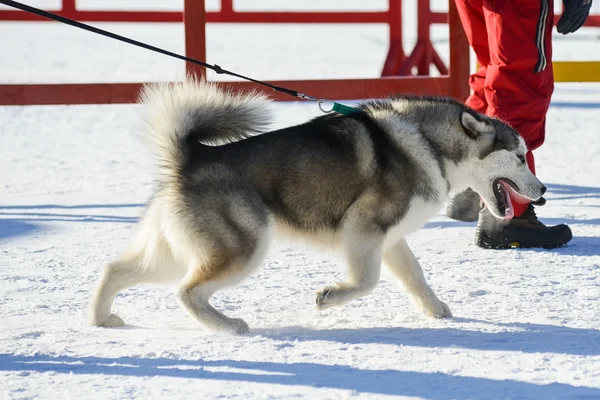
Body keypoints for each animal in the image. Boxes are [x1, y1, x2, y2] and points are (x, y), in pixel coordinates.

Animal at [88, 78, 544, 334]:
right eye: (521, 156)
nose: (541, 191)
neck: (430, 145)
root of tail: (191, 157)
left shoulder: (389, 238)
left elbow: (415, 276)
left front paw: (436, 310)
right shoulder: (363, 228)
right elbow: (367, 282)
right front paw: (329, 297)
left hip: (174, 252)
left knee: (114, 269)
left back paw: (99, 319)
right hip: (243, 249)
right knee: (186, 292)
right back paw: (229, 326)